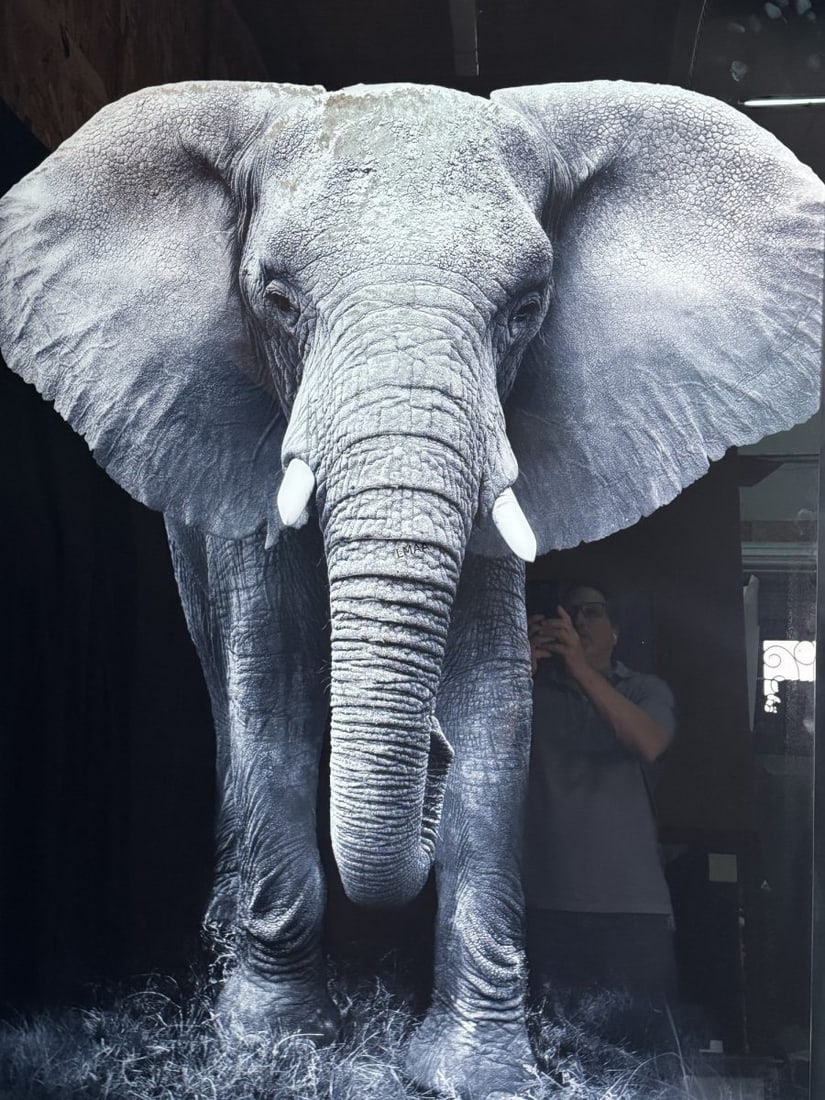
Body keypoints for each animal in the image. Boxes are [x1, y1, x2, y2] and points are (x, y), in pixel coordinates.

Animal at [0, 79, 822, 1098]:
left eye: (526, 305)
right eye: (276, 298)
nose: (426, 752)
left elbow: (495, 705)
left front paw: (476, 1073)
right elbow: (271, 690)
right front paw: (272, 1049)